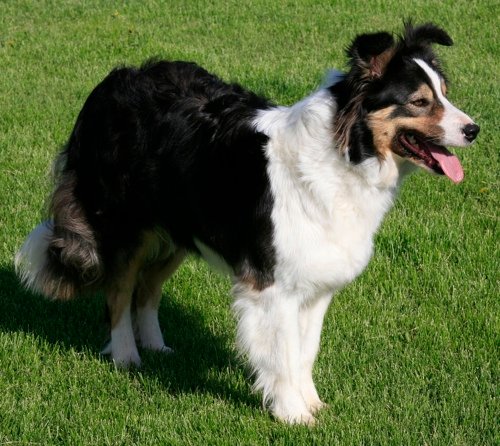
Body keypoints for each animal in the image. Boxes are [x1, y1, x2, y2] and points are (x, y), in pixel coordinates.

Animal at [15, 21, 478, 426]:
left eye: (445, 94)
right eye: (419, 102)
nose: (474, 129)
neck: (344, 153)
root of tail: (113, 81)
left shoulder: (315, 285)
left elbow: (306, 351)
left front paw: (312, 403)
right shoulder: (272, 287)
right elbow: (283, 353)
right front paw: (292, 414)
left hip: (180, 230)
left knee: (147, 289)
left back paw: (158, 347)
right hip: (126, 227)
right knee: (118, 290)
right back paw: (127, 357)